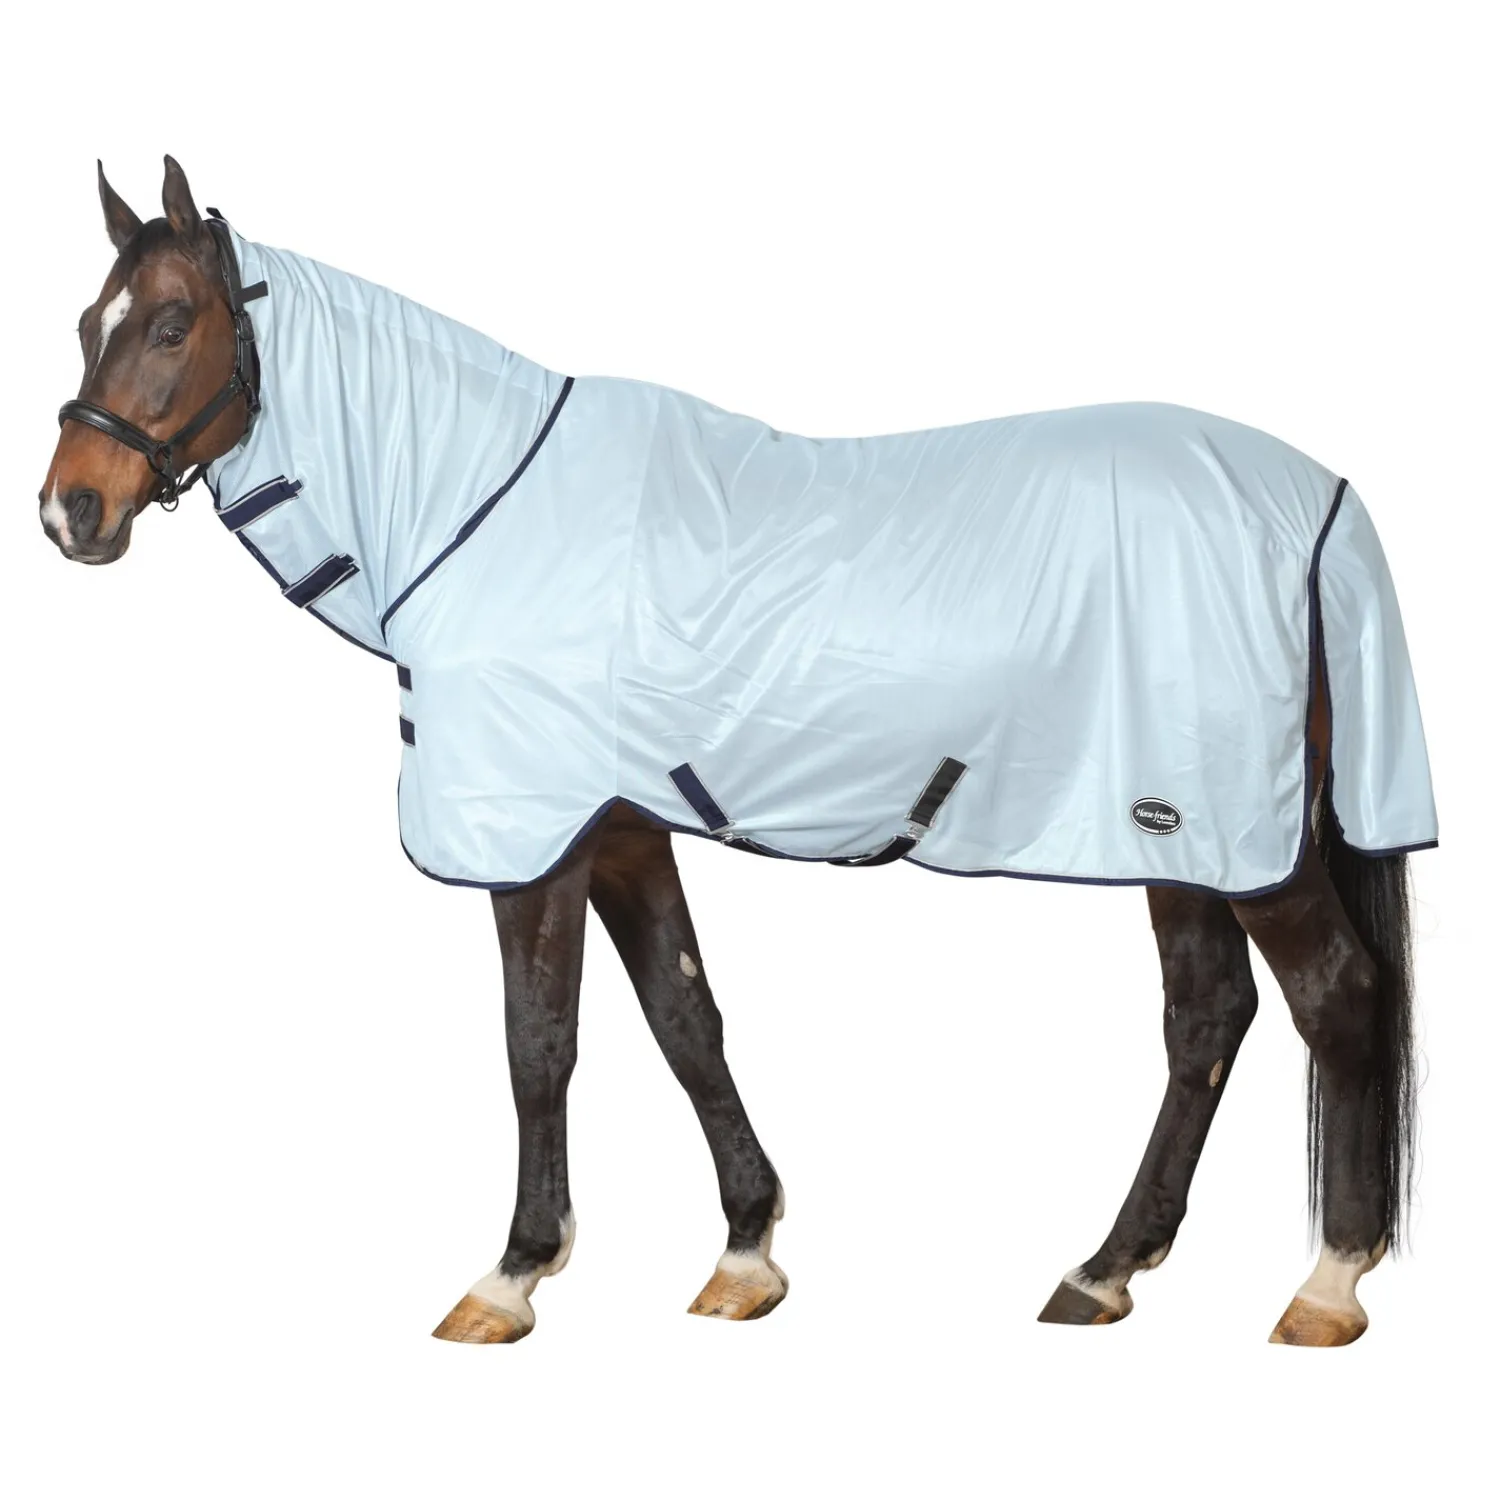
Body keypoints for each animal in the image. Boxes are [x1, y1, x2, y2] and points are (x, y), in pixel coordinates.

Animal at [40, 157, 1437, 1346]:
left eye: (171, 325)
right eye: (86, 323)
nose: (70, 511)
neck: (483, 510)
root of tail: (1320, 506)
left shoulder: (535, 847)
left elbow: (540, 1042)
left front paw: (513, 1273)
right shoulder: (618, 830)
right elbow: (685, 1018)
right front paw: (747, 1254)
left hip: (1241, 842)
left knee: (1335, 999)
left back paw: (1327, 1284)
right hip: (1183, 838)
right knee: (1207, 1018)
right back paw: (1103, 1272)